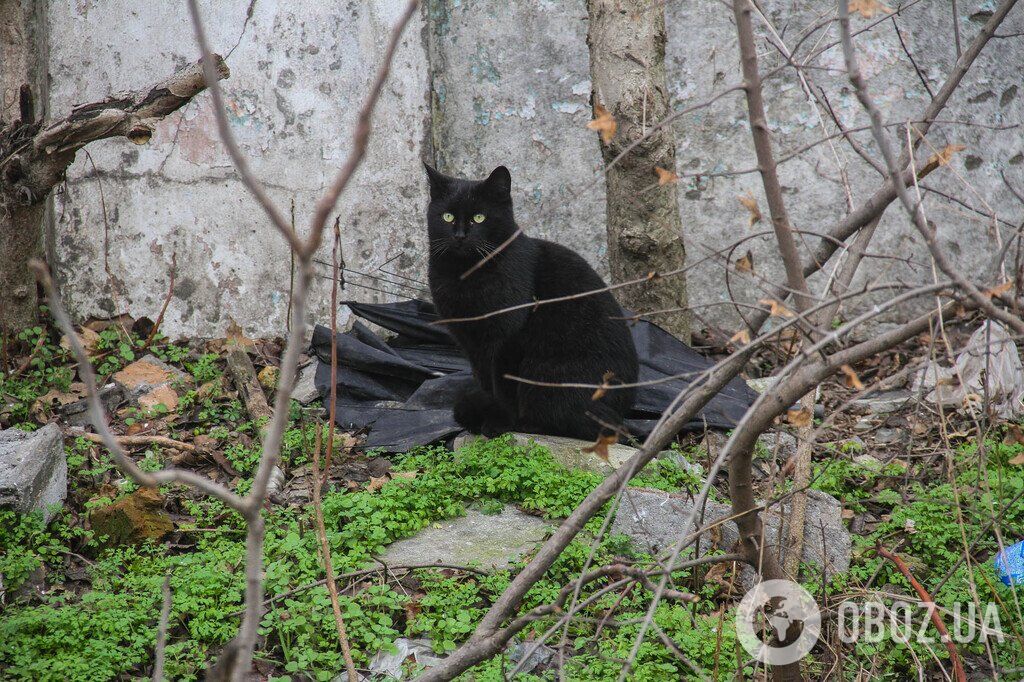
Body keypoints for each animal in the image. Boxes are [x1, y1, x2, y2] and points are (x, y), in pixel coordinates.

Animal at [421, 164, 630, 440]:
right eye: (447, 217)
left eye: (479, 217)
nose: (460, 235)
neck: (464, 275)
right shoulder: (471, 343)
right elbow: (484, 381)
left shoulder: (506, 338)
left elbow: (502, 386)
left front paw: (498, 423)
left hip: (544, 373)